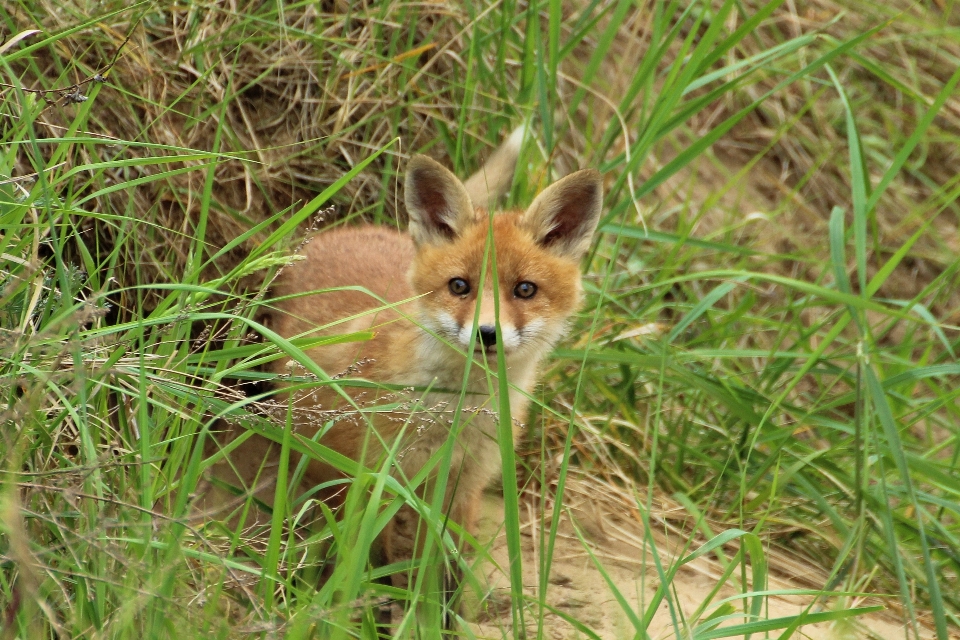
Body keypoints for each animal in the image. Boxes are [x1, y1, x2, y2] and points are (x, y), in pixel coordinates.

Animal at [227, 126, 600, 608]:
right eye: (459, 286)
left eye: (525, 290)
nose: (487, 334)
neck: (453, 415)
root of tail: (347, 229)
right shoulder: (369, 475)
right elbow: (374, 565)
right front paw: (378, 611)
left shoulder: (464, 484)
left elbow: (447, 577)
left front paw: (442, 617)